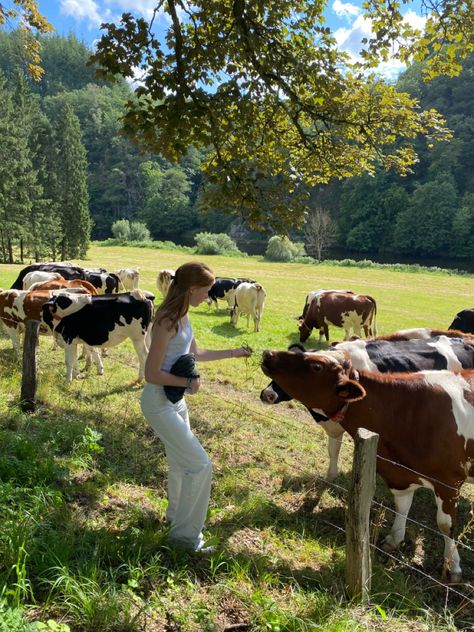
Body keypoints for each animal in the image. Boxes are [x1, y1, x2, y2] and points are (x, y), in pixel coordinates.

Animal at [260, 348, 474, 580]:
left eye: (317, 366)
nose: (268, 353)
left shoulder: (449, 481)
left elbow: (445, 524)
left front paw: (453, 566)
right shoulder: (399, 474)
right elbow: (402, 506)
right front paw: (394, 539)